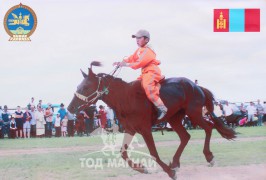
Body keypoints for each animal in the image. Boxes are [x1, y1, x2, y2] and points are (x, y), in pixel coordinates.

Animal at [67, 61, 236, 179]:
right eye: (78, 87)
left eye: (85, 87)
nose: (70, 108)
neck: (126, 98)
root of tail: (196, 86)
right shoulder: (130, 130)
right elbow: (123, 153)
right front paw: (142, 168)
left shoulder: (145, 130)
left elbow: (153, 152)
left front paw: (169, 172)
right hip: (175, 119)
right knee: (185, 136)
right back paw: (176, 163)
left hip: (194, 114)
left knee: (208, 127)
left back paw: (208, 157)